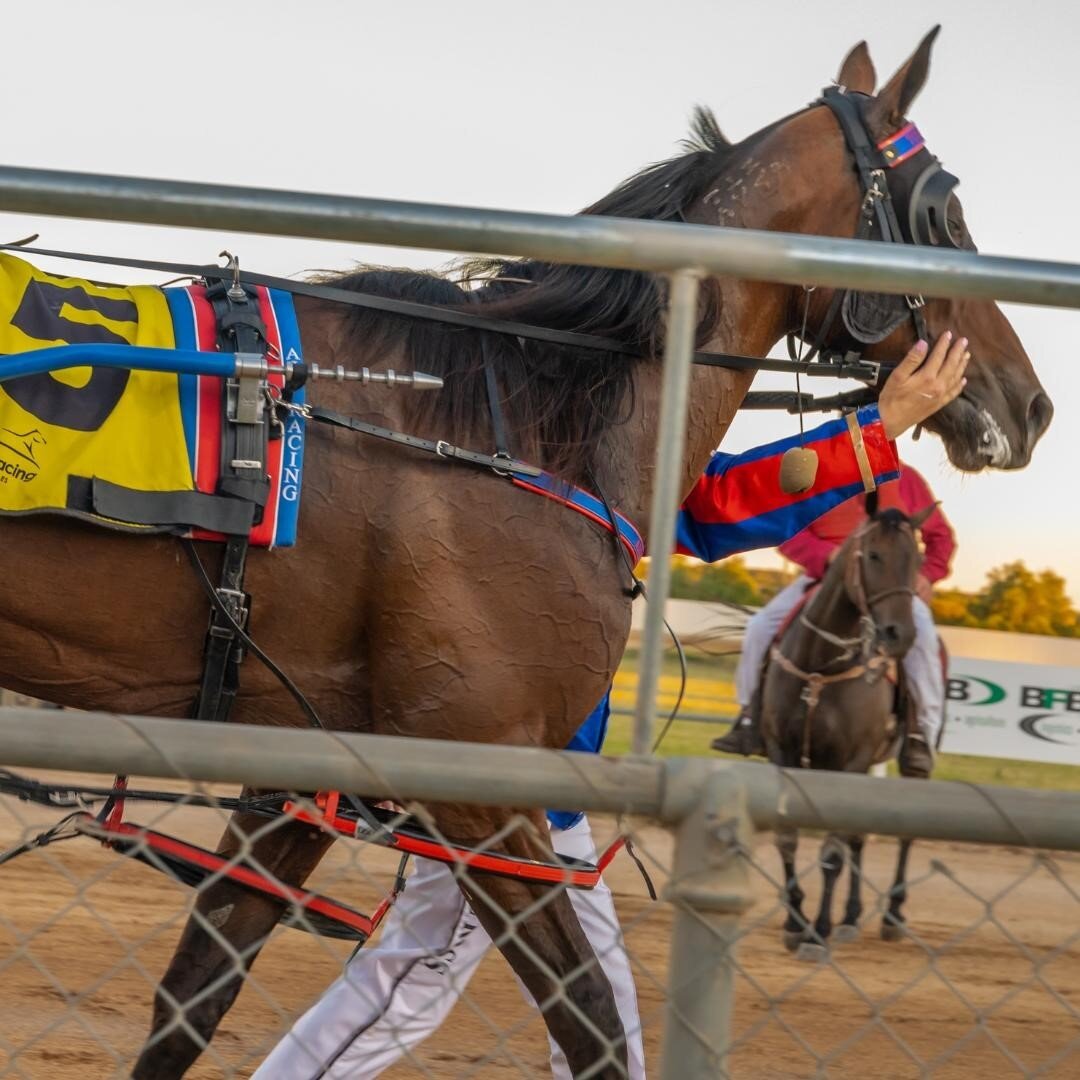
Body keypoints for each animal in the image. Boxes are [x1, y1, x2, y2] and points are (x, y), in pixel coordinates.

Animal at [760, 496, 928, 963]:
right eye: (873, 555)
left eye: (916, 561)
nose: (899, 635)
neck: (820, 665)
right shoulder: (781, 753)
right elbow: (788, 838)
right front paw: (795, 923)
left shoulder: (850, 760)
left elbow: (832, 851)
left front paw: (817, 932)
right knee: (859, 836)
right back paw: (851, 916)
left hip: (910, 765)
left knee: (902, 836)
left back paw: (893, 914)